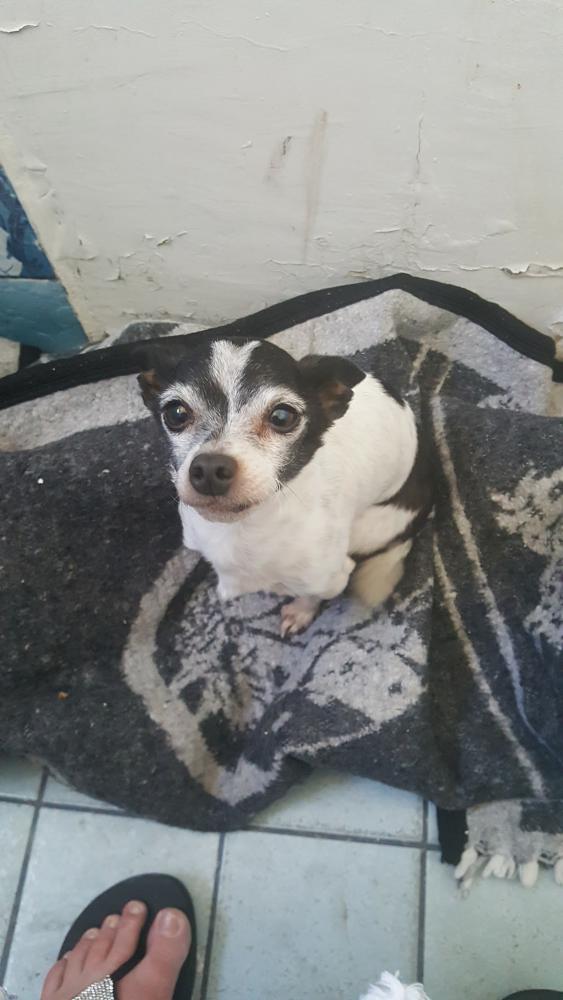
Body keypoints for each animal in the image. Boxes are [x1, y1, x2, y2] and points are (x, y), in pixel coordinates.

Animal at [139, 337, 432, 636]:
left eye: (282, 417)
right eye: (176, 413)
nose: (210, 469)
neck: (245, 528)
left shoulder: (331, 576)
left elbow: (312, 594)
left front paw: (301, 611)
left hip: (369, 529)